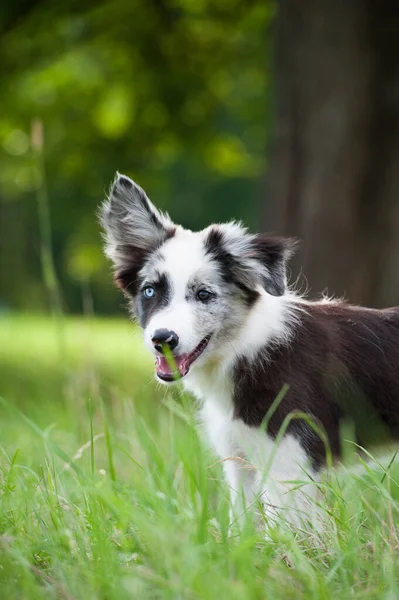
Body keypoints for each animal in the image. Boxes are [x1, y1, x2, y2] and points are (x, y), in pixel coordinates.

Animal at [100, 172, 399, 524]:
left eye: (204, 294)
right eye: (150, 291)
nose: (162, 340)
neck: (245, 348)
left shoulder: (288, 463)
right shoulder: (240, 462)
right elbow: (242, 528)